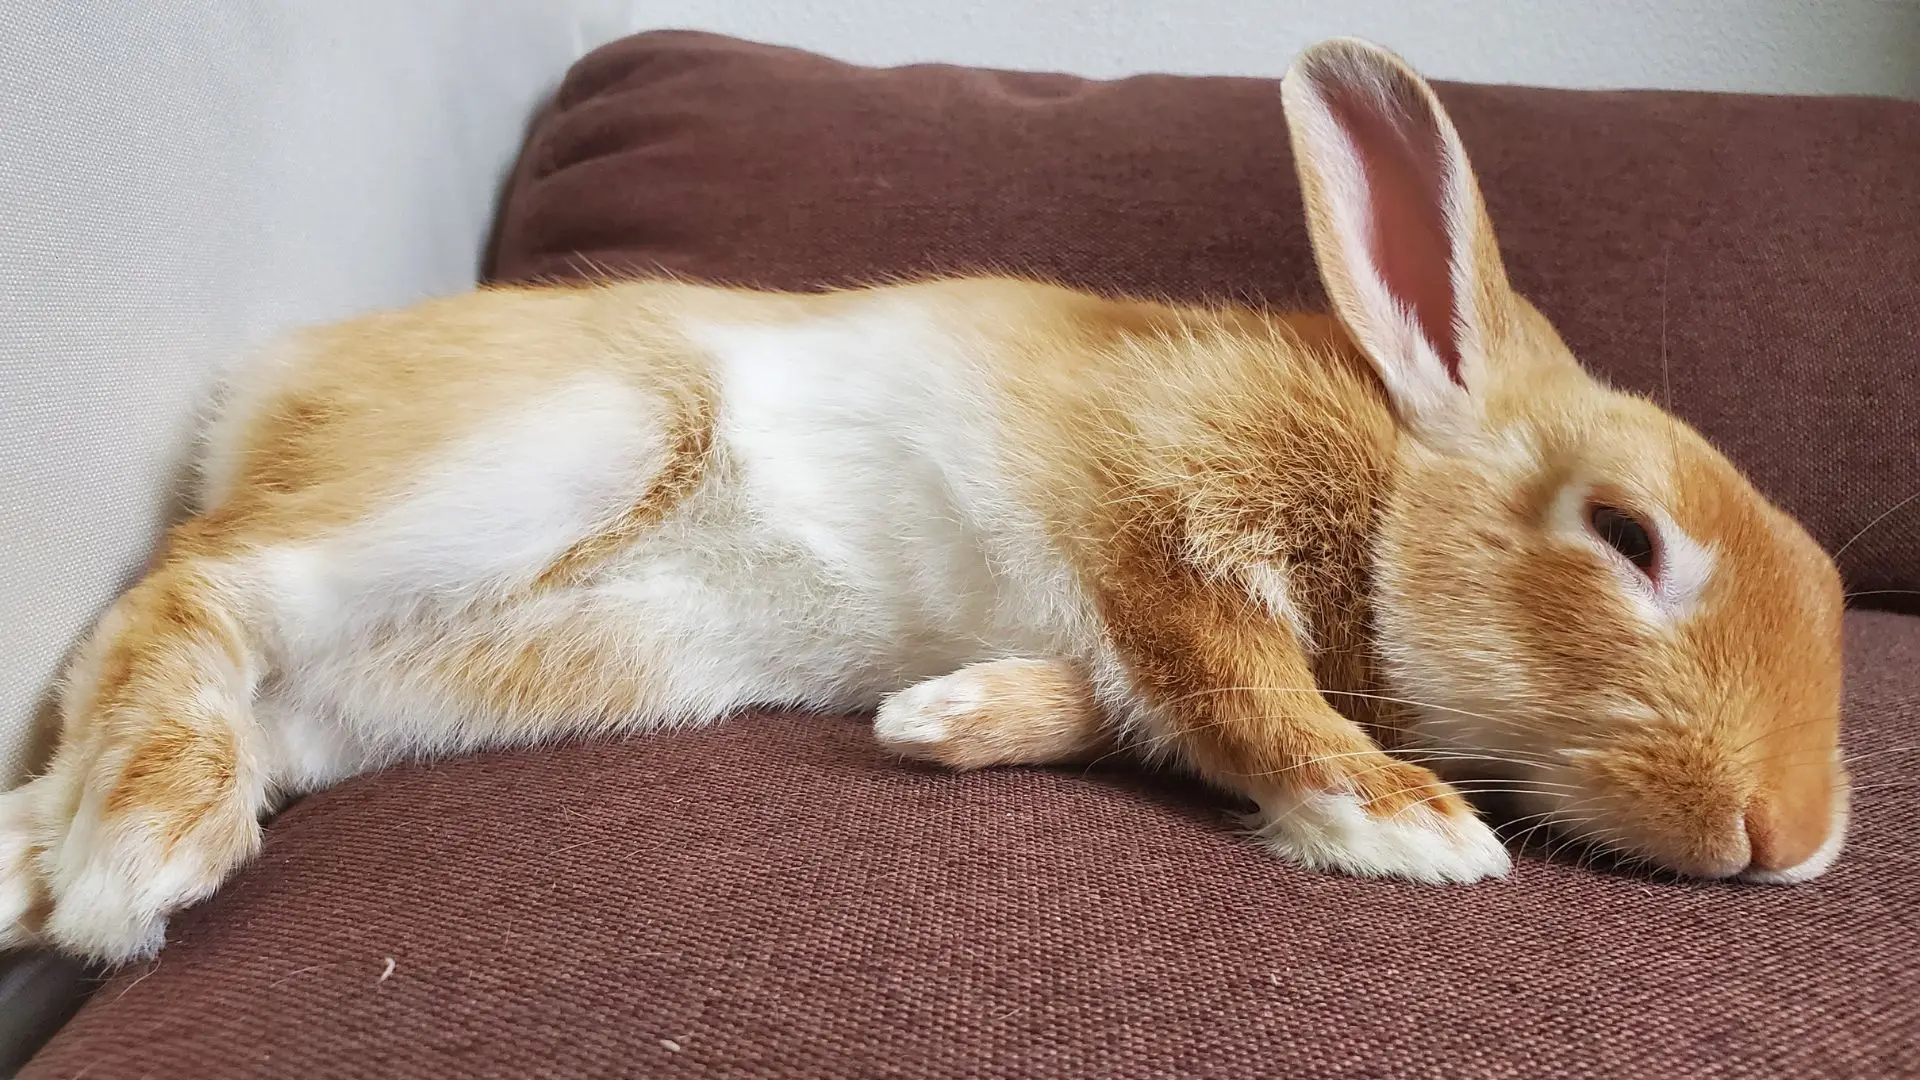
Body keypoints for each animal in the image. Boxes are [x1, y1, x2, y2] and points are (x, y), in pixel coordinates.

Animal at [0, 37, 1847, 965]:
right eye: (1627, 538)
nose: (1794, 841)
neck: (1388, 485)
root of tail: (262, 395)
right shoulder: (1155, 516)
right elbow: (1234, 682)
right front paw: (1412, 827)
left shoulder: (1118, 644)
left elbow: (1121, 707)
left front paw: (934, 723)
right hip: (560, 450)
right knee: (198, 588)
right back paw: (136, 861)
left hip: (498, 666)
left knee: (241, 691)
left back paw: (43, 861)